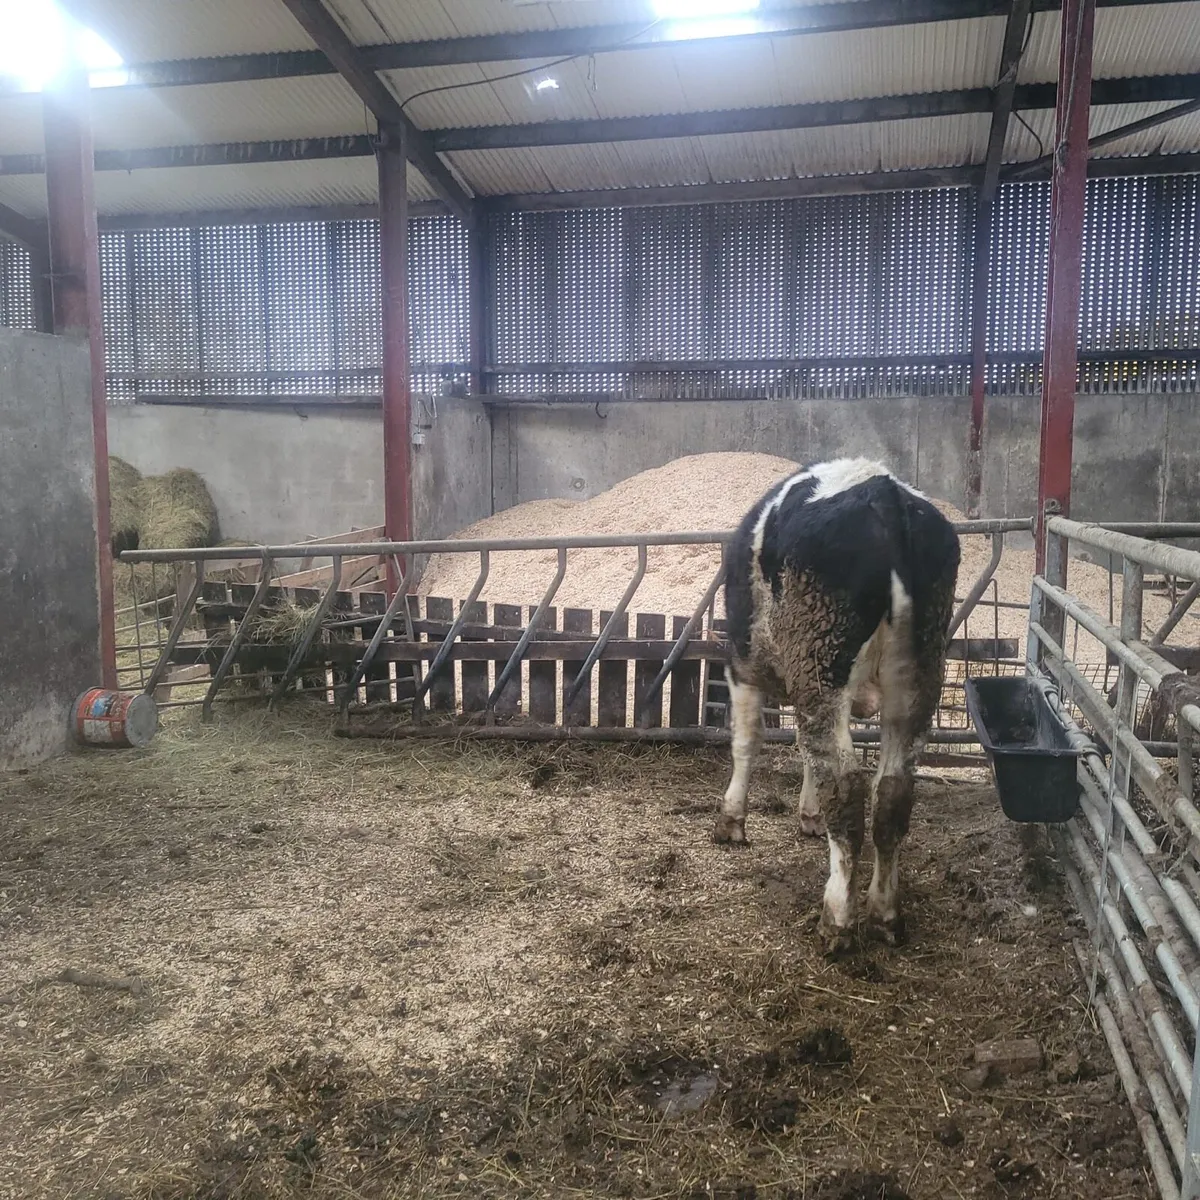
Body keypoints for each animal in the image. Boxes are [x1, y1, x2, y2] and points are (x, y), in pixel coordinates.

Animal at [714, 458, 961, 953]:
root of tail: (883, 492)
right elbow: (806, 755)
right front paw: (809, 816)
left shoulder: (742, 665)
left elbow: (747, 743)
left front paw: (732, 822)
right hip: (919, 674)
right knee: (891, 790)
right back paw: (884, 913)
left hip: (821, 662)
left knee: (846, 784)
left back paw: (838, 918)